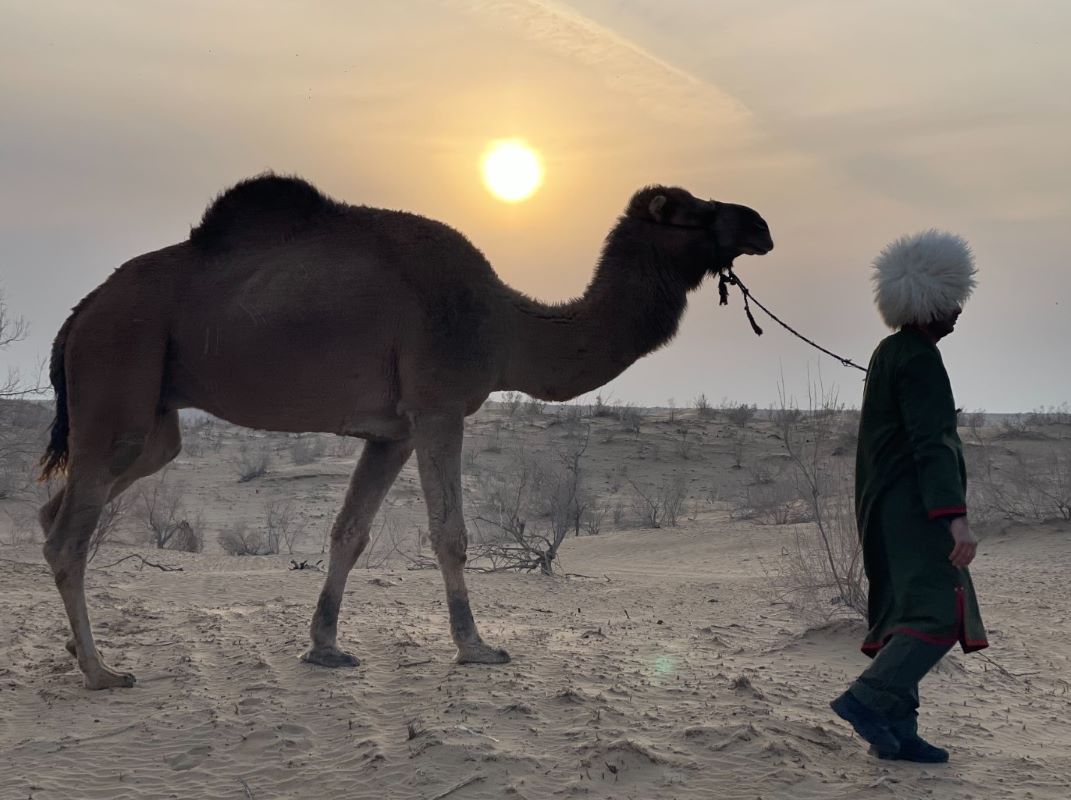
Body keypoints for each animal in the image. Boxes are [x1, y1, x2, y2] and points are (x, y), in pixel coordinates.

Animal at [33, 175, 771, 689]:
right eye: (688, 209)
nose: (760, 223)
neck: (507, 324)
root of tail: (80, 311)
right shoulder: (440, 405)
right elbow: (450, 534)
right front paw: (477, 647)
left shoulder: (394, 431)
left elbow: (349, 532)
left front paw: (325, 645)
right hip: (119, 366)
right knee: (69, 533)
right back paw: (102, 671)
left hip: (151, 417)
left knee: (61, 510)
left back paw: (76, 648)